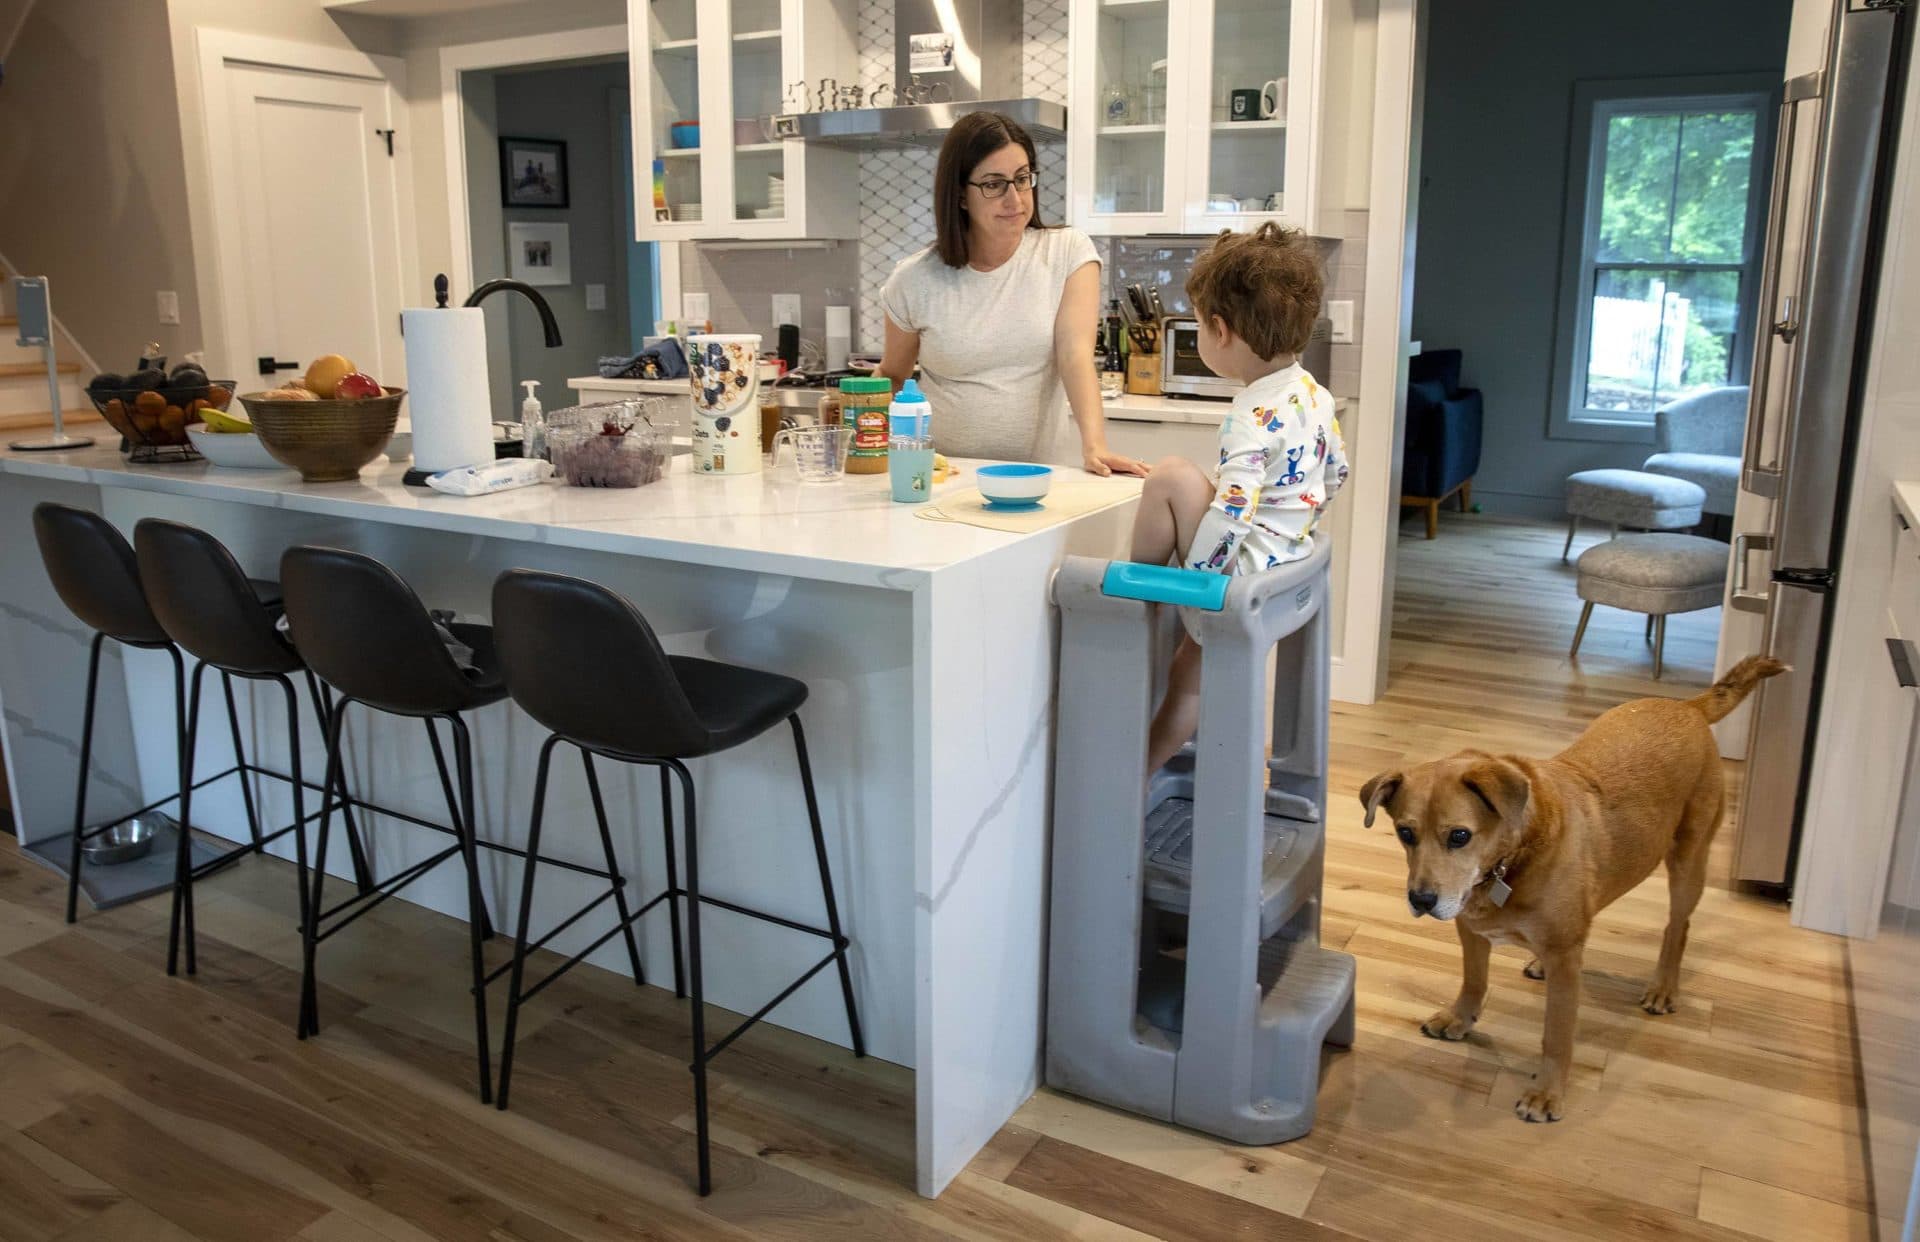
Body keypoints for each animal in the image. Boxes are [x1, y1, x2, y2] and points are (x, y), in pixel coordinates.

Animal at [1367, 660, 1781, 1128]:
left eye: (1459, 835)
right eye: (1405, 833)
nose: (1421, 901)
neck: (1509, 861)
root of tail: (1688, 708)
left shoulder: (1563, 958)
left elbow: (1557, 1035)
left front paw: (1546, 1094)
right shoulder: (1471, 931)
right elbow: (1474, 981)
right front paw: (1460, 1017)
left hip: (1688, 859)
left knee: (1677, 926)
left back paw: (1663, 986)